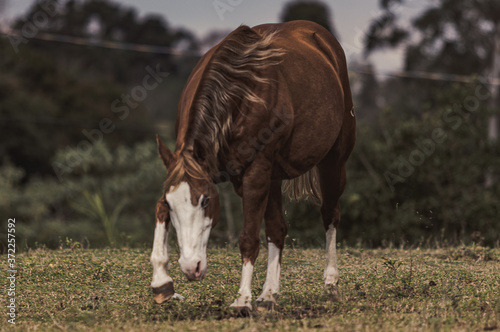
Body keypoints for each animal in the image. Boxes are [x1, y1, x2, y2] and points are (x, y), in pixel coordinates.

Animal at [149, 20, 356, 312]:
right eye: (171, 204)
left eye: (205, 200)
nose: (191, 268)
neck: (239, 94)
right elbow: (159, 210)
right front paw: (161, 282)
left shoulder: (255, 174)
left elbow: (248, 237)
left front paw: (242, 299)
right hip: (274, 178)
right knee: (278, 230)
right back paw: (269, 294)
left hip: (333, 161)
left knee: (330, 215)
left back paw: (330, 284)